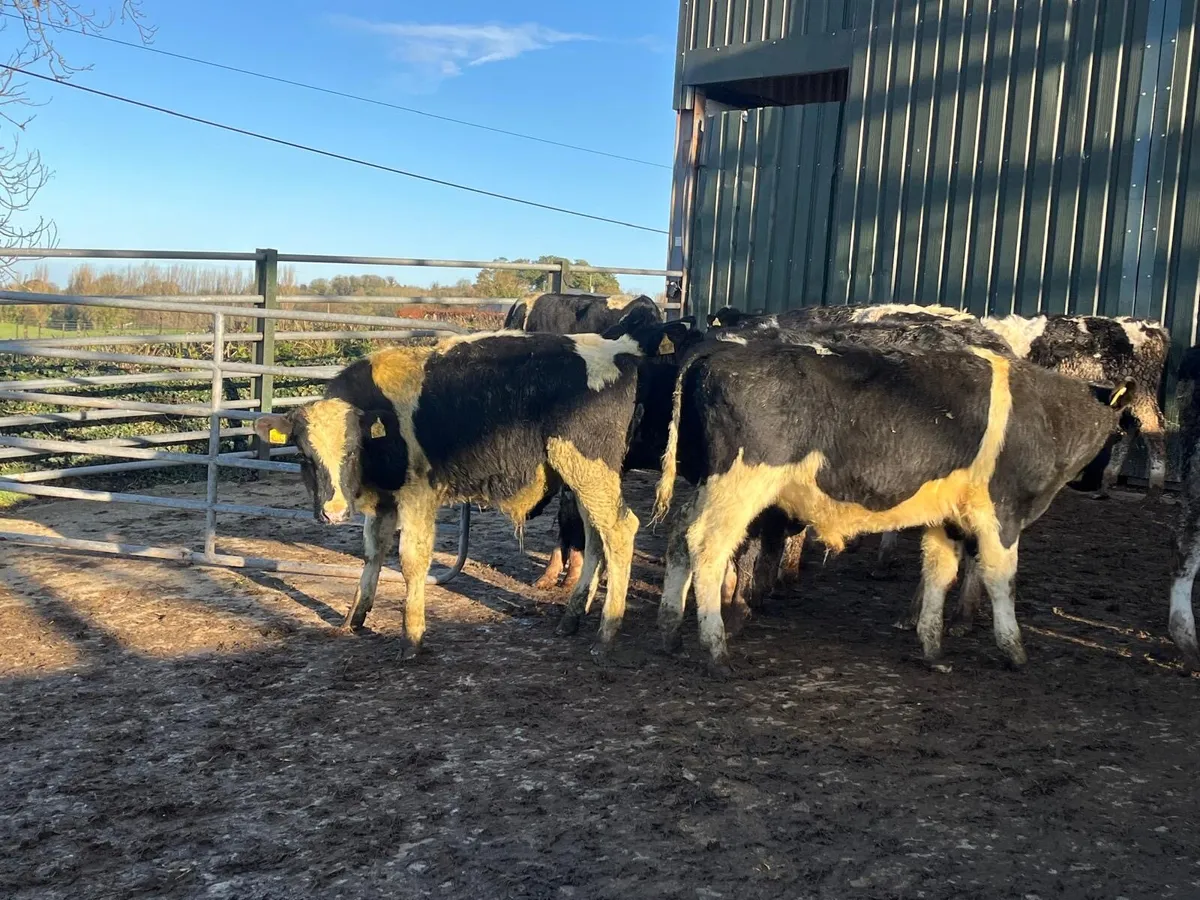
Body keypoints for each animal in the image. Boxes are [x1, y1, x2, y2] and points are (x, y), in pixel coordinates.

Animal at [251, 324, 680, 660]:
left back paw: (607, 634)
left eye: (353, 449)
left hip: (590, 471)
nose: (334, 512)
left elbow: (412, 561)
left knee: (620, 531)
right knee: (595, 538)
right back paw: (573, 617)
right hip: (585, 479)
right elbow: (373, 552)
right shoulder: (387, 500)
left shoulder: (418, 497)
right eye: (304, 455)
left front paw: (411, 636)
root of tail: (620, 350)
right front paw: (354, 617)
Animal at [651, 333, 1133, 676]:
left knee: (679, 538)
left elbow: (940, 573)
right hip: (741, 485)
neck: (1044, 413)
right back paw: (716, 653)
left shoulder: (948, 520)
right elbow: (1002, 579)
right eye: (1122, 432)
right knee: (707, 548)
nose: (1102, 484)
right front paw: (1014, 651)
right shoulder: (1001, 512)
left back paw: (670, 633)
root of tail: (720, 350)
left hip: (708, 484)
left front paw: (932, 648)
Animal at [981, 314, 1170, 499]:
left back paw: (1154, 489)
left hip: (1143, 391)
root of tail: (1153, 328)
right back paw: (1104, 486)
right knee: (1129, 430)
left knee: (1154, 427)